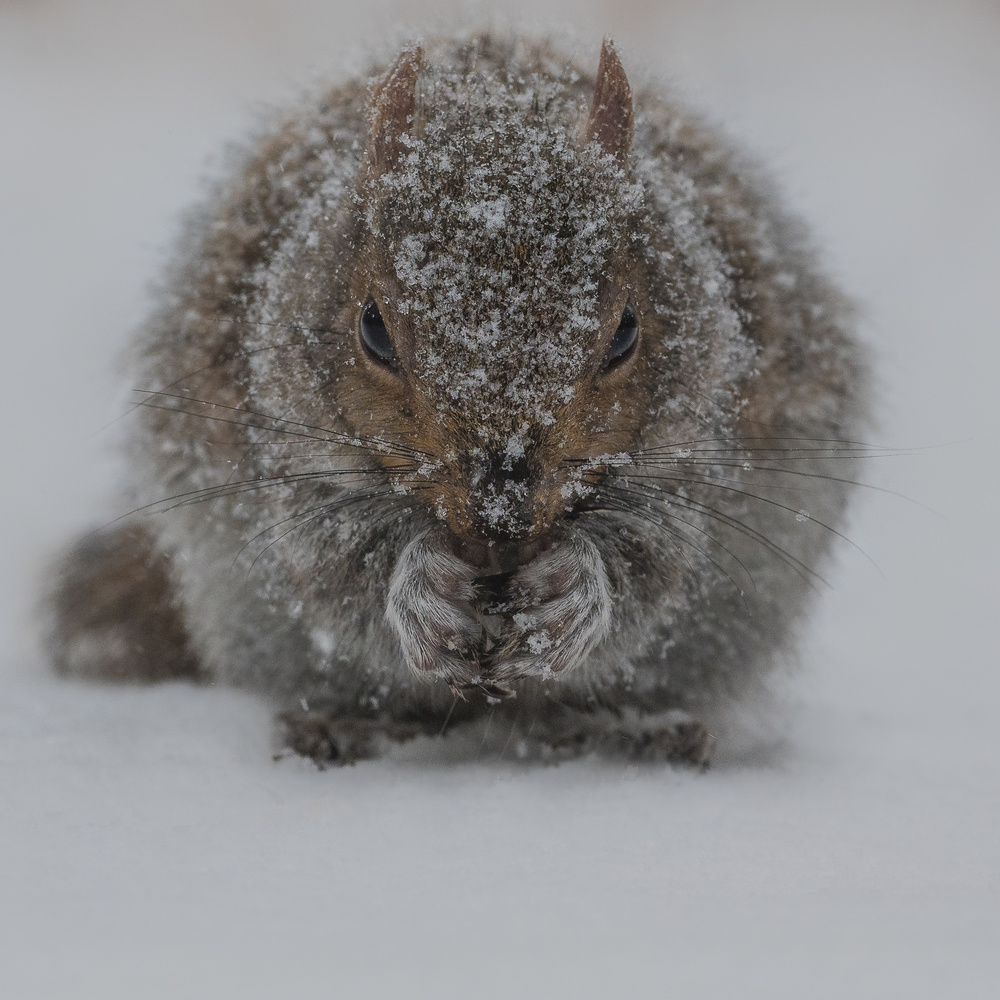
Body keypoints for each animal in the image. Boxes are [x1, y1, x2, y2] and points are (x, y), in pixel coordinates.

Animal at [43, 31, 872, 764]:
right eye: (374, 327)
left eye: (627, 331)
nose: (501, 511)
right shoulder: (295, 457)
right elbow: (338, 570)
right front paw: (418, 591)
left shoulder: (690, 441)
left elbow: (652, 563)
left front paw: (577, 591)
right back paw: (345, 725)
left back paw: (630, 728)